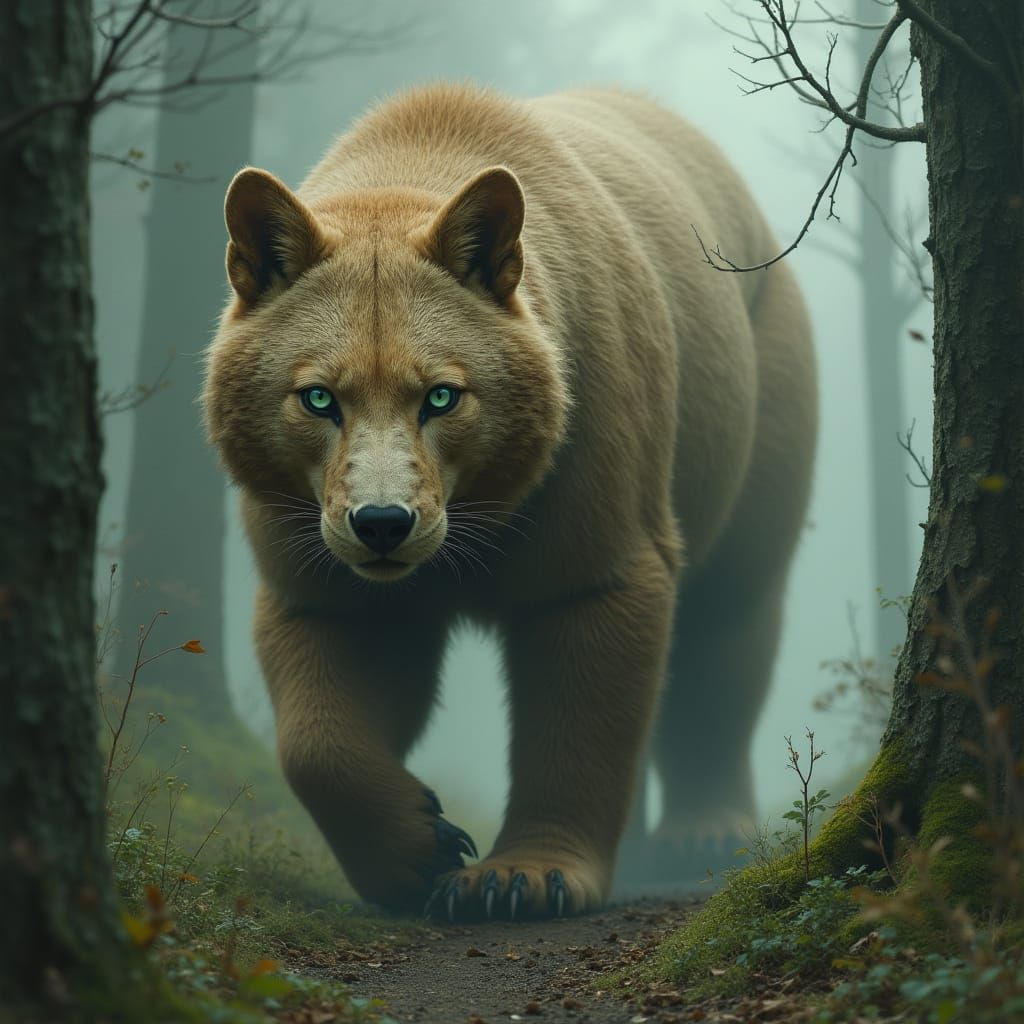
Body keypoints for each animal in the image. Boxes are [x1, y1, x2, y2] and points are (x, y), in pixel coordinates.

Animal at [202, 83, 817, 919]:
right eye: (318, 396)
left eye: (441, 394)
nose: (383, 524)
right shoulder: (303, 523)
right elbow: (330, 674)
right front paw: (420, 844)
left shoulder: (586, 443)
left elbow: (588, 633)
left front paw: (520, 876)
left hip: (755, 400)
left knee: (730, 619)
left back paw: (703, 832)